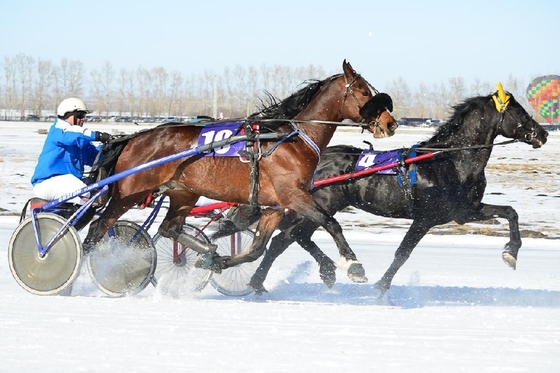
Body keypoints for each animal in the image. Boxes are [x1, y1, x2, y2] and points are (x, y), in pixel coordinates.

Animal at [83, 60, 398, 276]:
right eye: (363, 92)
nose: (390, 123)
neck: (290, 139)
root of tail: (134, 138)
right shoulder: (293, 195)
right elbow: (331, 222)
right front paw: (354, 264)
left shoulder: (274, 206)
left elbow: (256, 249)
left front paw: (220, 260)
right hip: (129, 192)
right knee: (98, 228)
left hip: (183, 193)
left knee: (169, 227)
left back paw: (207, 251)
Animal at [233, 85, 552, 296]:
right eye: (519, 111)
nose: (543, 134)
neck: (448, 160)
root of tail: (316, 157)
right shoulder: (426, 218)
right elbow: (402, 253)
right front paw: (381, 286)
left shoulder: (464, 211)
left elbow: (510, 212)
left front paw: (511, 253)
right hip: (317, 205)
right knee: (287, 238)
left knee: (289, 237)